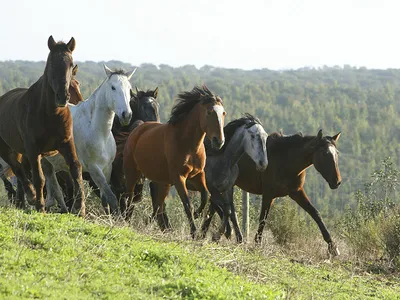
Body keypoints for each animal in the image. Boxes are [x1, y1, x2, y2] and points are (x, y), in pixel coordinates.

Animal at [0, 35, 86, 216]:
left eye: (70, 63)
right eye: (52, 63)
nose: (62, 97)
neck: (50, 114)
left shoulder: (66, 143)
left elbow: (76, 168)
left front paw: (80, 208)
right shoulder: (34, 150)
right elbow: (39, 178)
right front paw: (40, 206)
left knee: (20, 170)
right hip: (7, 149)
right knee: (18, 169)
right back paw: (31, 196)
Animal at [42, 64, 136, 214]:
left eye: (129, 89)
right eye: (113, 87)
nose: (126, 115)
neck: (97, 131)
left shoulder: (107, 168)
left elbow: (105, 200)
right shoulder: (94, 169)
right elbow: (112, 198)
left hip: (48, 162)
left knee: (53, 189)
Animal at [123, 85, 227, 238]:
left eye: (223, 113)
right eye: (209, 112)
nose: (219, 141)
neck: (188, 144)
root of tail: (137, 130)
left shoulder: (197, 176)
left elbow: (205, 196)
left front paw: (197, 214)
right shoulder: (179, 177)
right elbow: (188, 204)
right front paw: (194, 232)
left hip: (163, 182)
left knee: (158, 205)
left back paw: (150, 222)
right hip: (133, 173)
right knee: (129, 198)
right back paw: (124, 219)